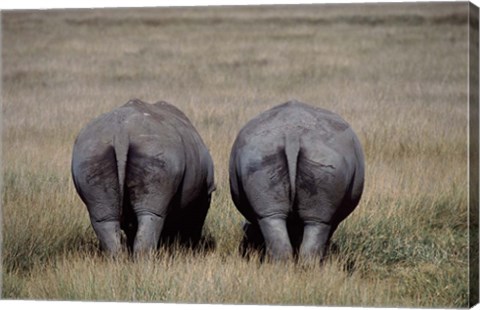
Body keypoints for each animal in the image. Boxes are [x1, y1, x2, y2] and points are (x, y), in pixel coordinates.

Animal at [71, 100, 214, 256]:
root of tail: (121, 133)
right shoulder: (206, 192)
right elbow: (195, 221)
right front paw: (191, 249)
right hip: (156, 150)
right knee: (152, 214)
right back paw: (145, 259)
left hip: (91, 153)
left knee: (104, 218)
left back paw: (118, 259)